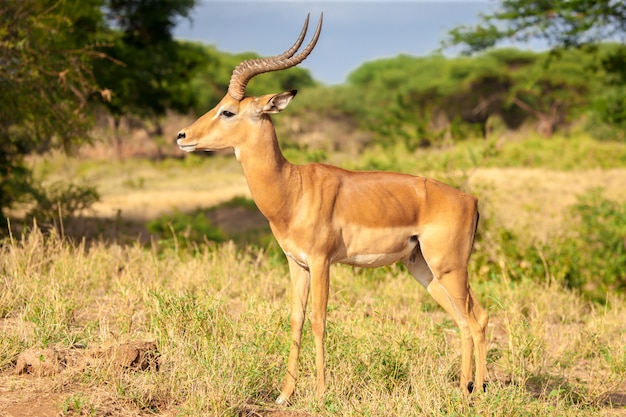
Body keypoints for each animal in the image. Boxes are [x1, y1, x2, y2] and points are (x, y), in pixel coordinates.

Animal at [176, 13, 488, 404]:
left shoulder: (322, 261)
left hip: (449, 267)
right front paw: (285, 394)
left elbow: (319, 320)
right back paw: (468, 389)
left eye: (227, 110)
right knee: (467, 319)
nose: (182, 136)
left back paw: (476, 391)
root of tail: (470, 200)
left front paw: (322, 392)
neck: (292, 188)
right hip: (424, 269)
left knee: (476, 318)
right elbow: (296, 318)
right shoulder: (296, 263)